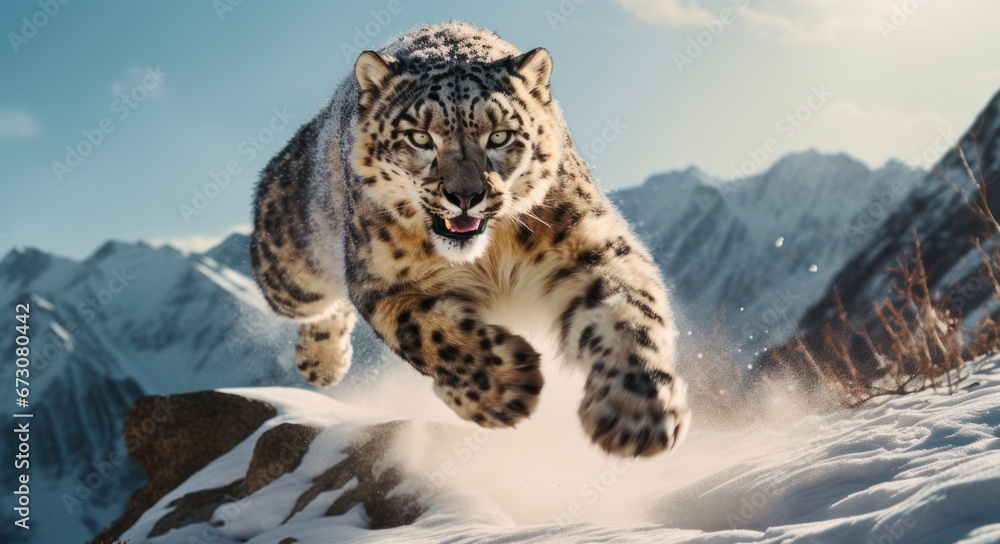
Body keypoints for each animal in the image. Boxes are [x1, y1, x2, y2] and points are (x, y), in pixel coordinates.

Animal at [251, 21, 690, 457]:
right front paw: (506, 387)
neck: (489, 256)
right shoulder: (382, 281)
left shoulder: (591, 246)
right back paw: (322, 362)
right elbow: (431, 334)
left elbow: (629, 314)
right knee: (319, 298)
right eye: (419, 138)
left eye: (499, 136)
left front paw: (636, 411)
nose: (465, 196)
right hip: (292, 276)